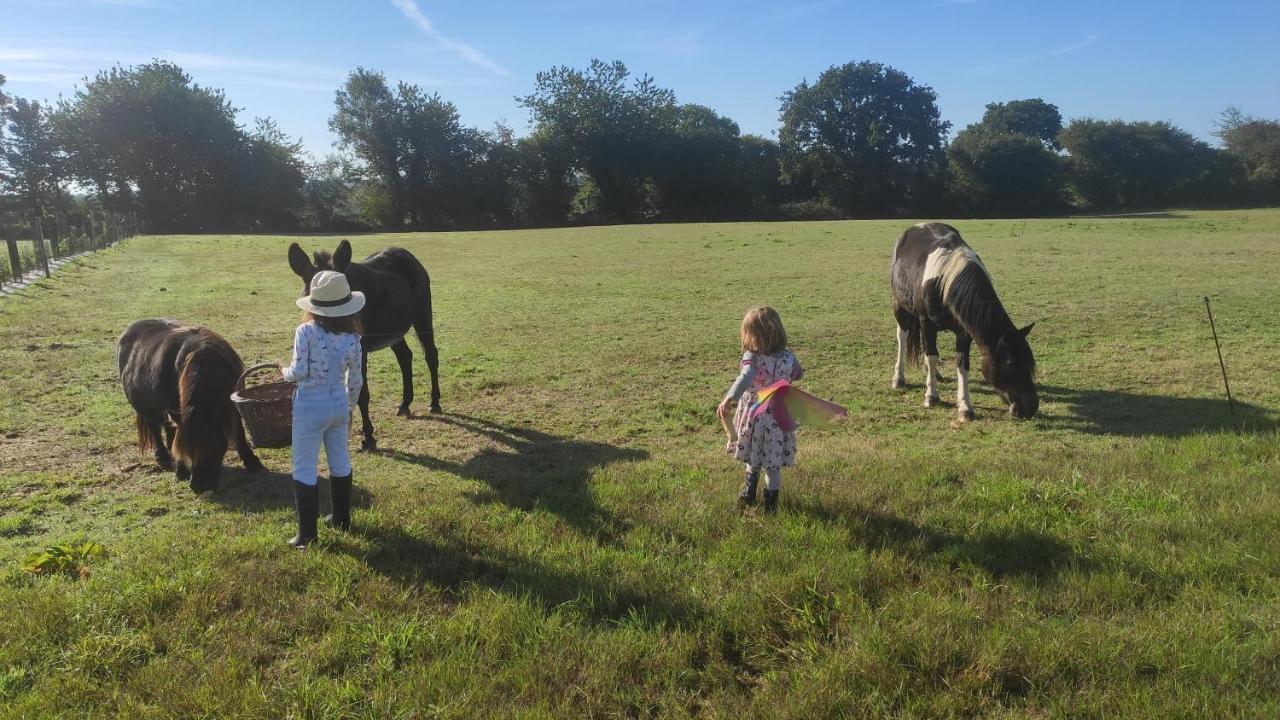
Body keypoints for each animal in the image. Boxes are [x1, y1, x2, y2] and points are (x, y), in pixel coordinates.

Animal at [117, 317, 262, 489]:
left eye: (213, 445)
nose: (197, 486)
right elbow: (175, 438)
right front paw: (180, 471)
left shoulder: (232, 405)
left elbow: (239, 433)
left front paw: (253, 462)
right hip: (146, 409)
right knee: (155, 429)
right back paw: (162, 457)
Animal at [288, 238, 442, 448]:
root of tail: (406, 254)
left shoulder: (360, 350)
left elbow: (362, 392)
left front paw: (369, 437)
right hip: (393, 329)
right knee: (405, 357)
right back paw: (405, 404)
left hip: (422, 315)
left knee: (431, 355)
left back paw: (434, 402)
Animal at [890, 221, 1039, 417]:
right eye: (1011, 364)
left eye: (1029, 362)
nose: (1031, 407)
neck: (944, 281)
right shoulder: (927, 324)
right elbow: (932, 356)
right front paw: (931, 396)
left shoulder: (964, 331)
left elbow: (962, 364)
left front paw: (965, 407)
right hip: (900, 306)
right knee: (903, 337)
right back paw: (899, 378)